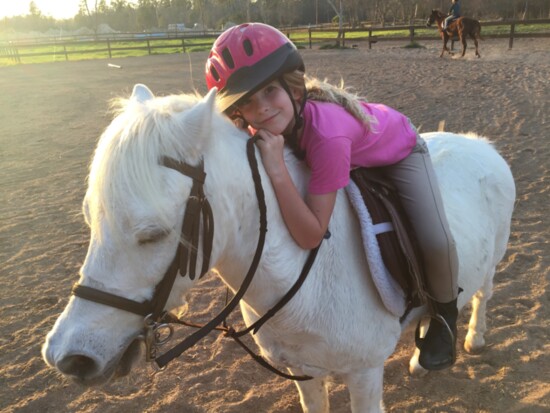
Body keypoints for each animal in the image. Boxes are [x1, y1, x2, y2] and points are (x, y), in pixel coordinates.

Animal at [42, 85, 516, 410]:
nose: (69, 358)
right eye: (90, 220)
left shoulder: (365, 374)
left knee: (480, 293)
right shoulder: (303, 371)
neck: (305, 273)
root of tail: (478, 142)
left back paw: (469, 339)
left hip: (489, 259)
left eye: (152, 234)